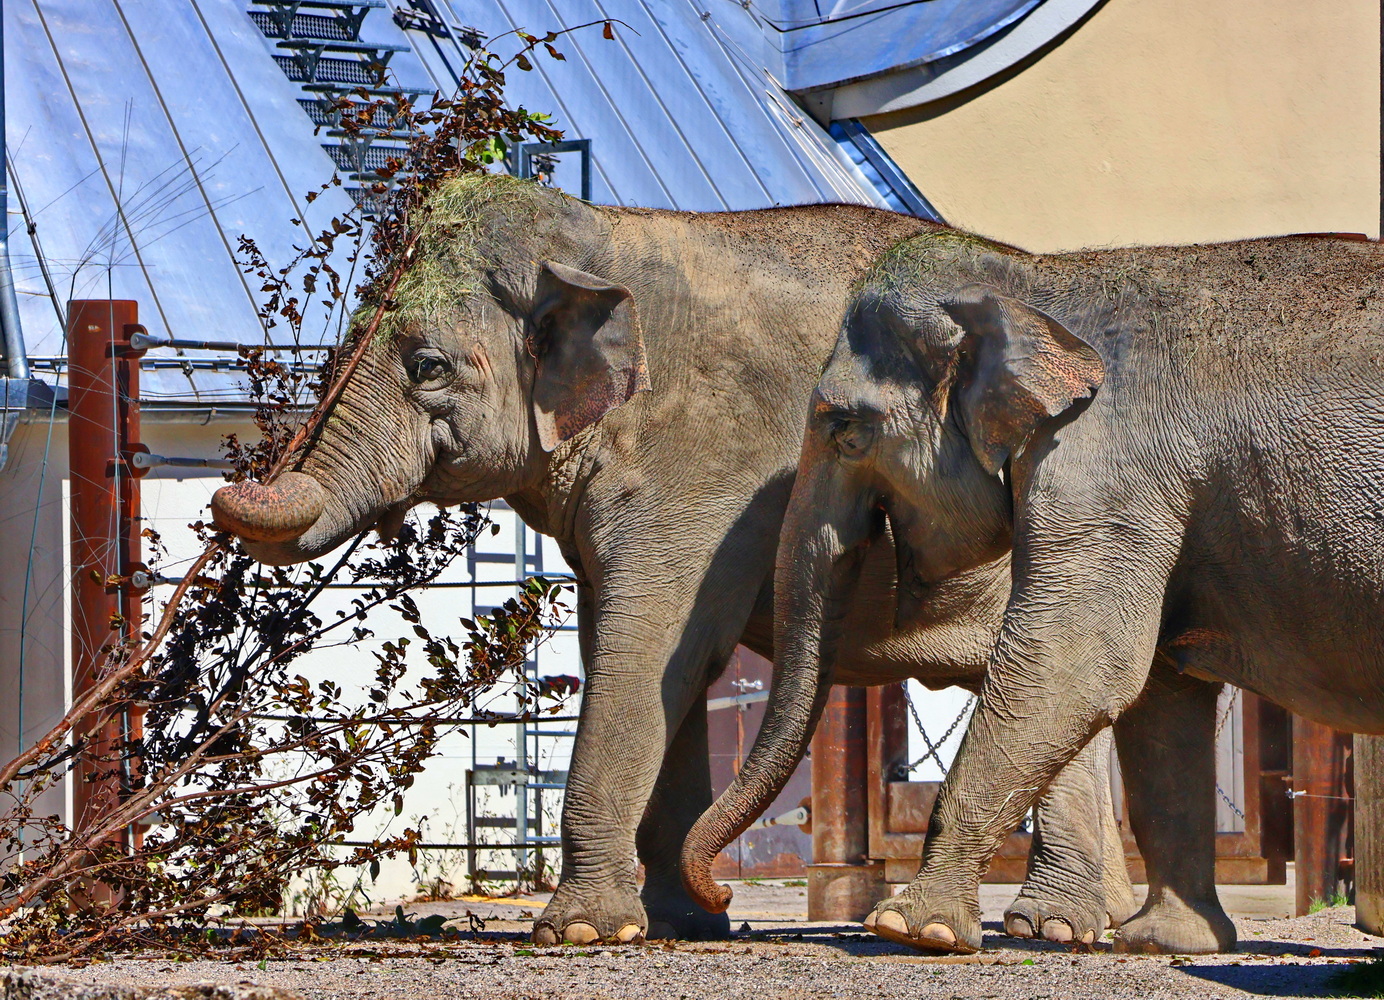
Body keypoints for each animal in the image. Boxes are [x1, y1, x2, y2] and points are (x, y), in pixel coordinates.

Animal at [207, 178, 1134, 946]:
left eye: (427, 365)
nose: (730, 900)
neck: (600, 236)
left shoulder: (703, 469)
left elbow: (651, 642)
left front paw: (583, 933)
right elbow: (654, 658)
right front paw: (678, 926)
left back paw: (1044, 926)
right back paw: (1076, 924)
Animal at [675, 225, 1384, 957]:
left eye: (847, 431)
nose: (723, 894)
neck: (1035, 277)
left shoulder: (1100, 472)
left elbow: (1074, 664)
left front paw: (914, 928)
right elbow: (1161, 698)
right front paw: (1164, 942)